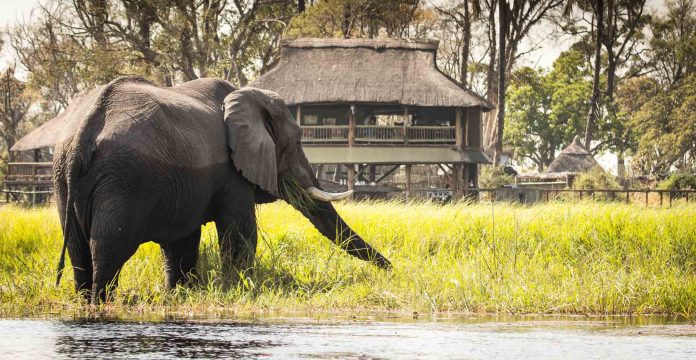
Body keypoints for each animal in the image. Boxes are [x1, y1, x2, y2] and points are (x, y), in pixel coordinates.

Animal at [54, 76, 392, 304]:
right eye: (296, 141)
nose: (392, 268)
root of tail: (86, 126)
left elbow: (182, 240)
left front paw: (179, 295)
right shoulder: (231, 172)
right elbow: (240, 232)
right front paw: (239, 288)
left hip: (65, 179)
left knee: (79, 251)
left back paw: (86, 304)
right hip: (123, 179)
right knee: (108, 249)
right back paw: (102, 305)